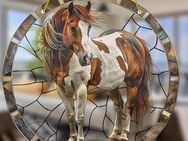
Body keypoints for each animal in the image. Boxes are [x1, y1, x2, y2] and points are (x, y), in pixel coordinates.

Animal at [38, 1, 151, 140]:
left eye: (89, 28)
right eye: (73, 28)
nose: (87, 58)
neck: (66, 62)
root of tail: (135, 40)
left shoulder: (81, 89)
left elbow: (80, 117)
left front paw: (80, 138)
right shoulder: (61, 90)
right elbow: (70, 116)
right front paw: (72, 137)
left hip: (133, 83)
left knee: (129, 106)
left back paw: (124, 135)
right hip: (113, 85)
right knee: (118, 104)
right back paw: (114, 134)